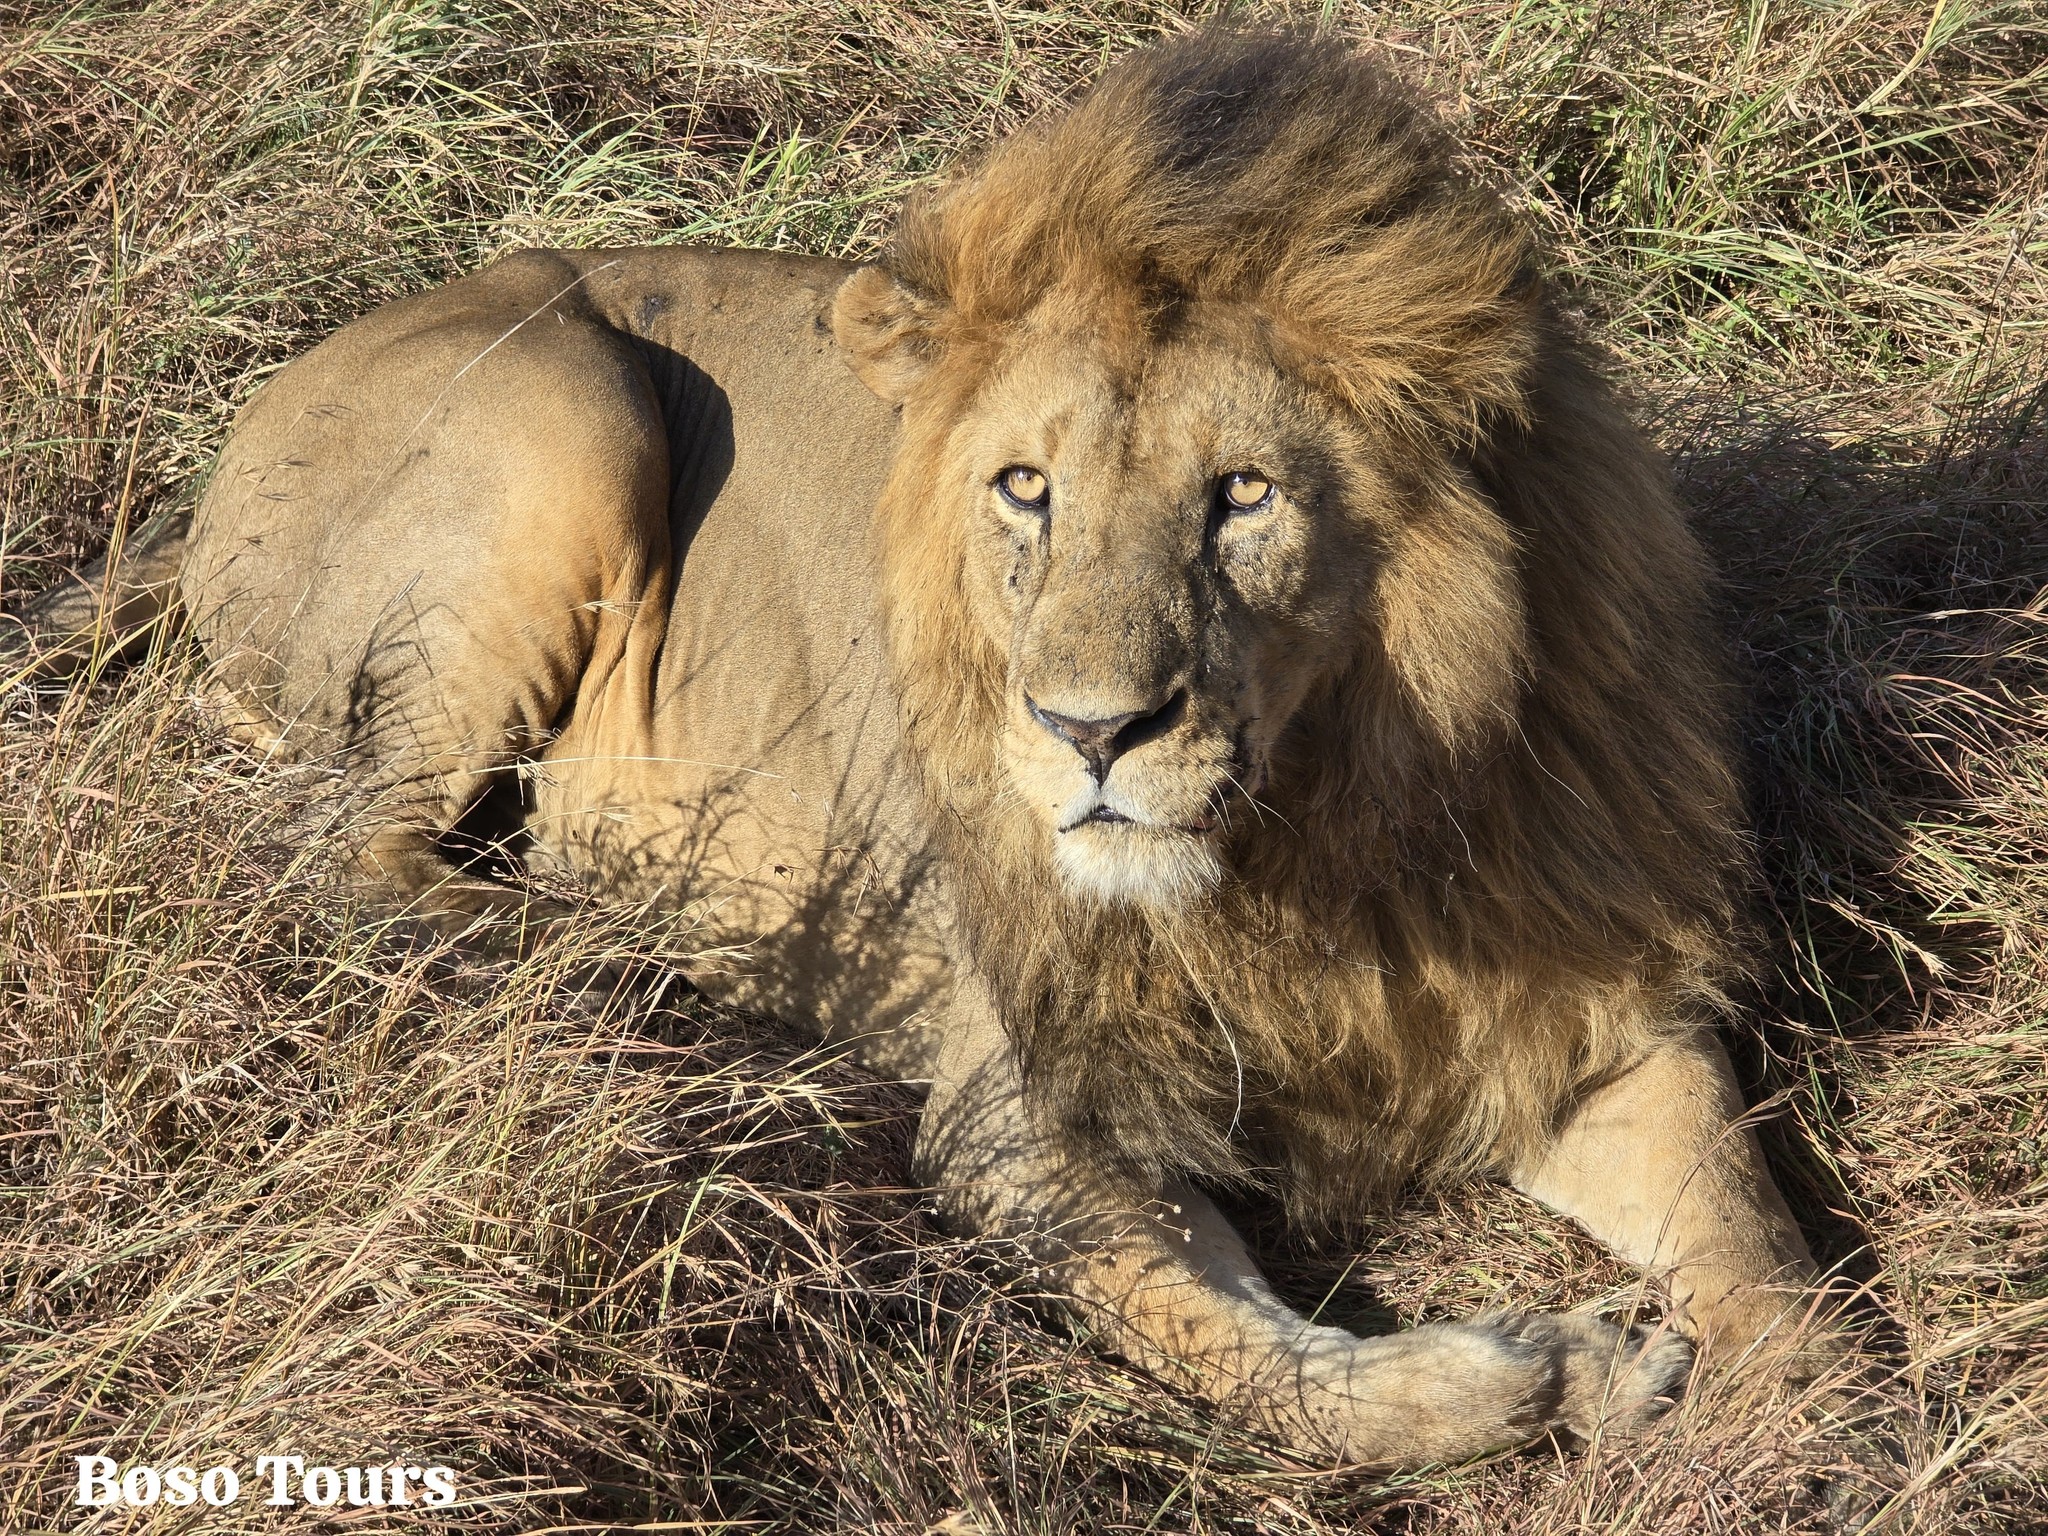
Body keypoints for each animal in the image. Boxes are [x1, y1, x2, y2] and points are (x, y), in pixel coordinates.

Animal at [11, 31, 1821, 1467]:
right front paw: (1546, 1380)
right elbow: (1247, 1360)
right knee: (353, 866)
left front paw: (1822, 1432)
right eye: (1023, 488)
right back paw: (662, 994)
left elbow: (1766, 1258)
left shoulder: (1588, 1014)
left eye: (1242, 495)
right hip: (563, 413)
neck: (1315, 835)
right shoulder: (1024, 1117)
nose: (1089, 731)